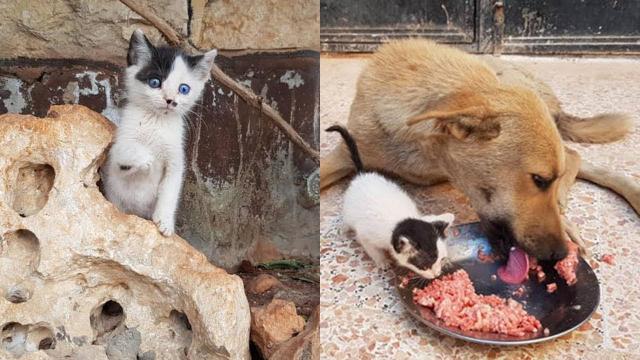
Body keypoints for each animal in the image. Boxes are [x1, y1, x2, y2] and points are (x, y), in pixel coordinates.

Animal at [102, 28, 218, 236]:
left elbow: (170, 190)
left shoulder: (176, 160)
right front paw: (146, 157)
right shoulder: (117, 153)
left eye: (184, 89)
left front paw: (164, 221)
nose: (170, 100)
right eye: (155, 82)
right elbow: (126, 150)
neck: (156, 122)